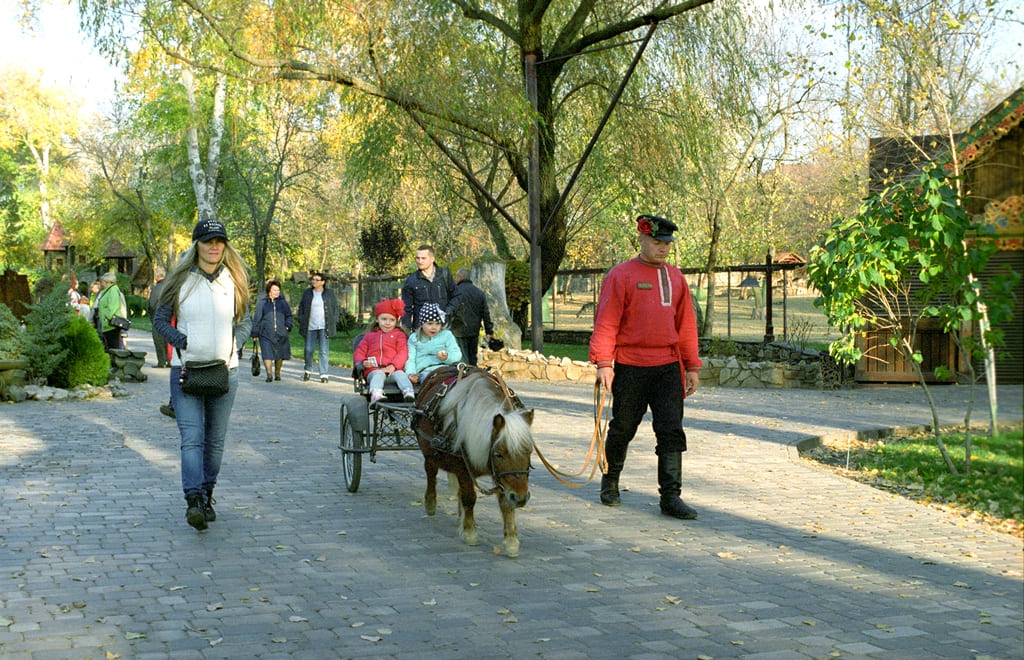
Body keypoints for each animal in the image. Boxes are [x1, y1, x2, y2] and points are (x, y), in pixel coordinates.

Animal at [411, 366, 536, 556]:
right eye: (499, 454)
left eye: (529, 451)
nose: (520, 498)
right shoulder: (463, 468)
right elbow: (469, 498)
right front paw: (470, 532)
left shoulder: (501, 477)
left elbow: (504, 503)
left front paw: (511, 541)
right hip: (428, 450)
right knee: (431, 472)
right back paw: (431, 503)